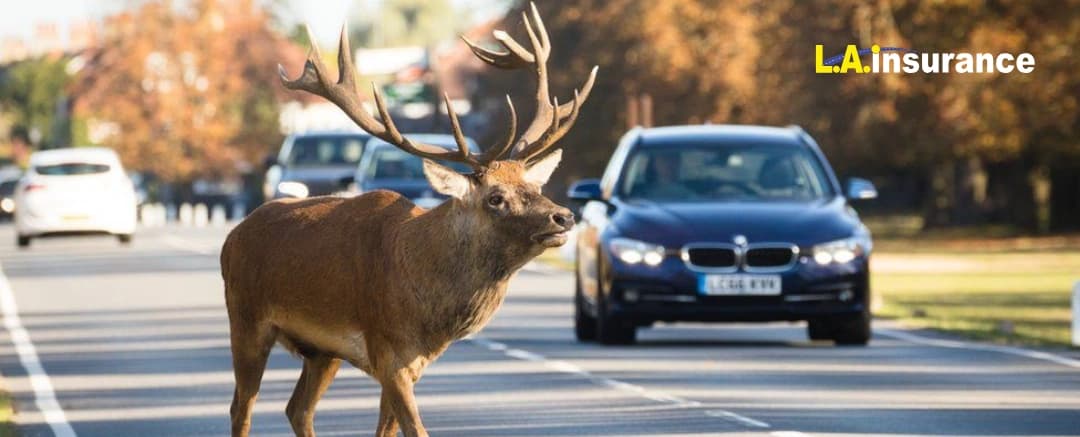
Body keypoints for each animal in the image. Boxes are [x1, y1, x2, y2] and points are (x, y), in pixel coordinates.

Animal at [221, 4, 597, 437]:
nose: (564, 216)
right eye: (496, 197)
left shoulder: (410, 362)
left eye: (534, 186)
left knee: (297, 408)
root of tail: (231, 238)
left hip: (321, 351)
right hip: (246, 319)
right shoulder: (389, 353)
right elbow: (416, 428)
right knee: (242, 407)